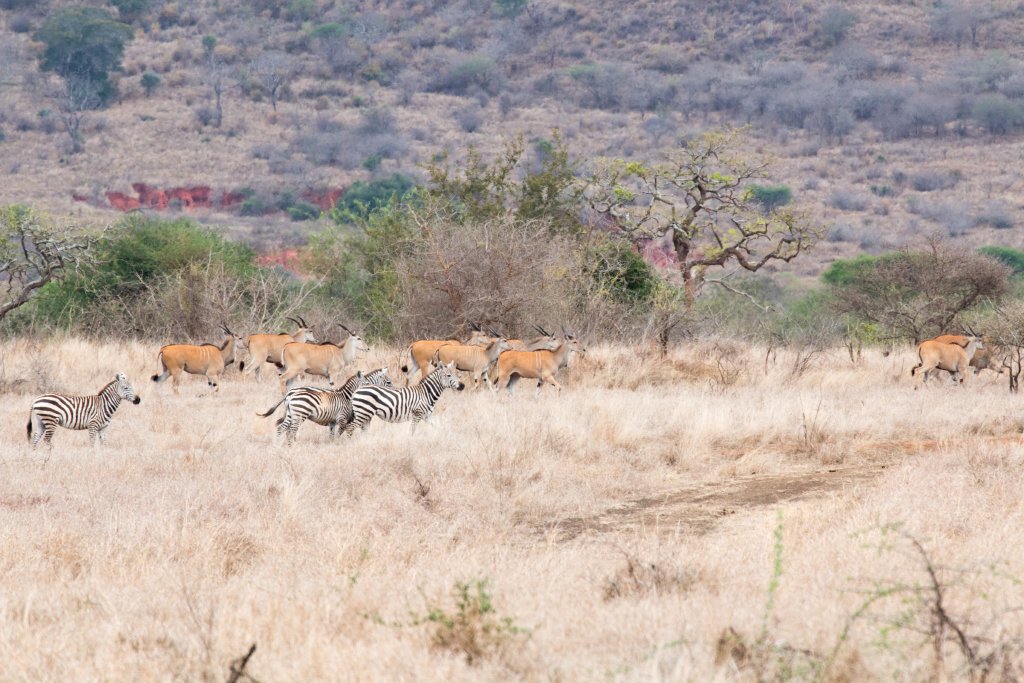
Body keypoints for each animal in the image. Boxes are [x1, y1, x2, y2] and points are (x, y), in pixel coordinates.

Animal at [257, 367, 394, 445]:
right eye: (388, 382)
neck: (347, 396)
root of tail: (290, 393)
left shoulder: (334, 421)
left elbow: (332, 436)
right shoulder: (343, 419)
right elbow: (342, 433)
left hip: (291, 414)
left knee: (282, 429)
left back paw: (279, 445)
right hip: (299, 415)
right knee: (290, 431)